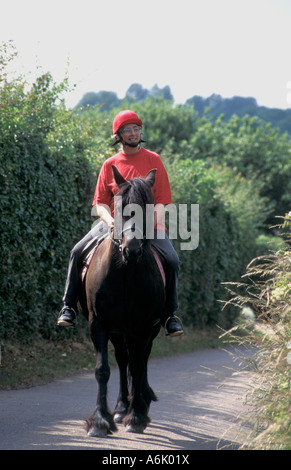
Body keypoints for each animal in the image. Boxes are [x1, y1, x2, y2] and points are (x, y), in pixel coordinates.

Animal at [80, 166, 165, 436]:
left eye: (148, 206)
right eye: (119, 207)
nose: (132, 249)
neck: (126, 271)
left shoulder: (144, 326)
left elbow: (137, 367)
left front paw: (136, 417)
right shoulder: (98, 324)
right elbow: (103, 370)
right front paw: (99, 421)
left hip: (148, 329)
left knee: (140, 360)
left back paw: (139, 403)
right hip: (118, 331)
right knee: (122, 358)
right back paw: (119, 408)